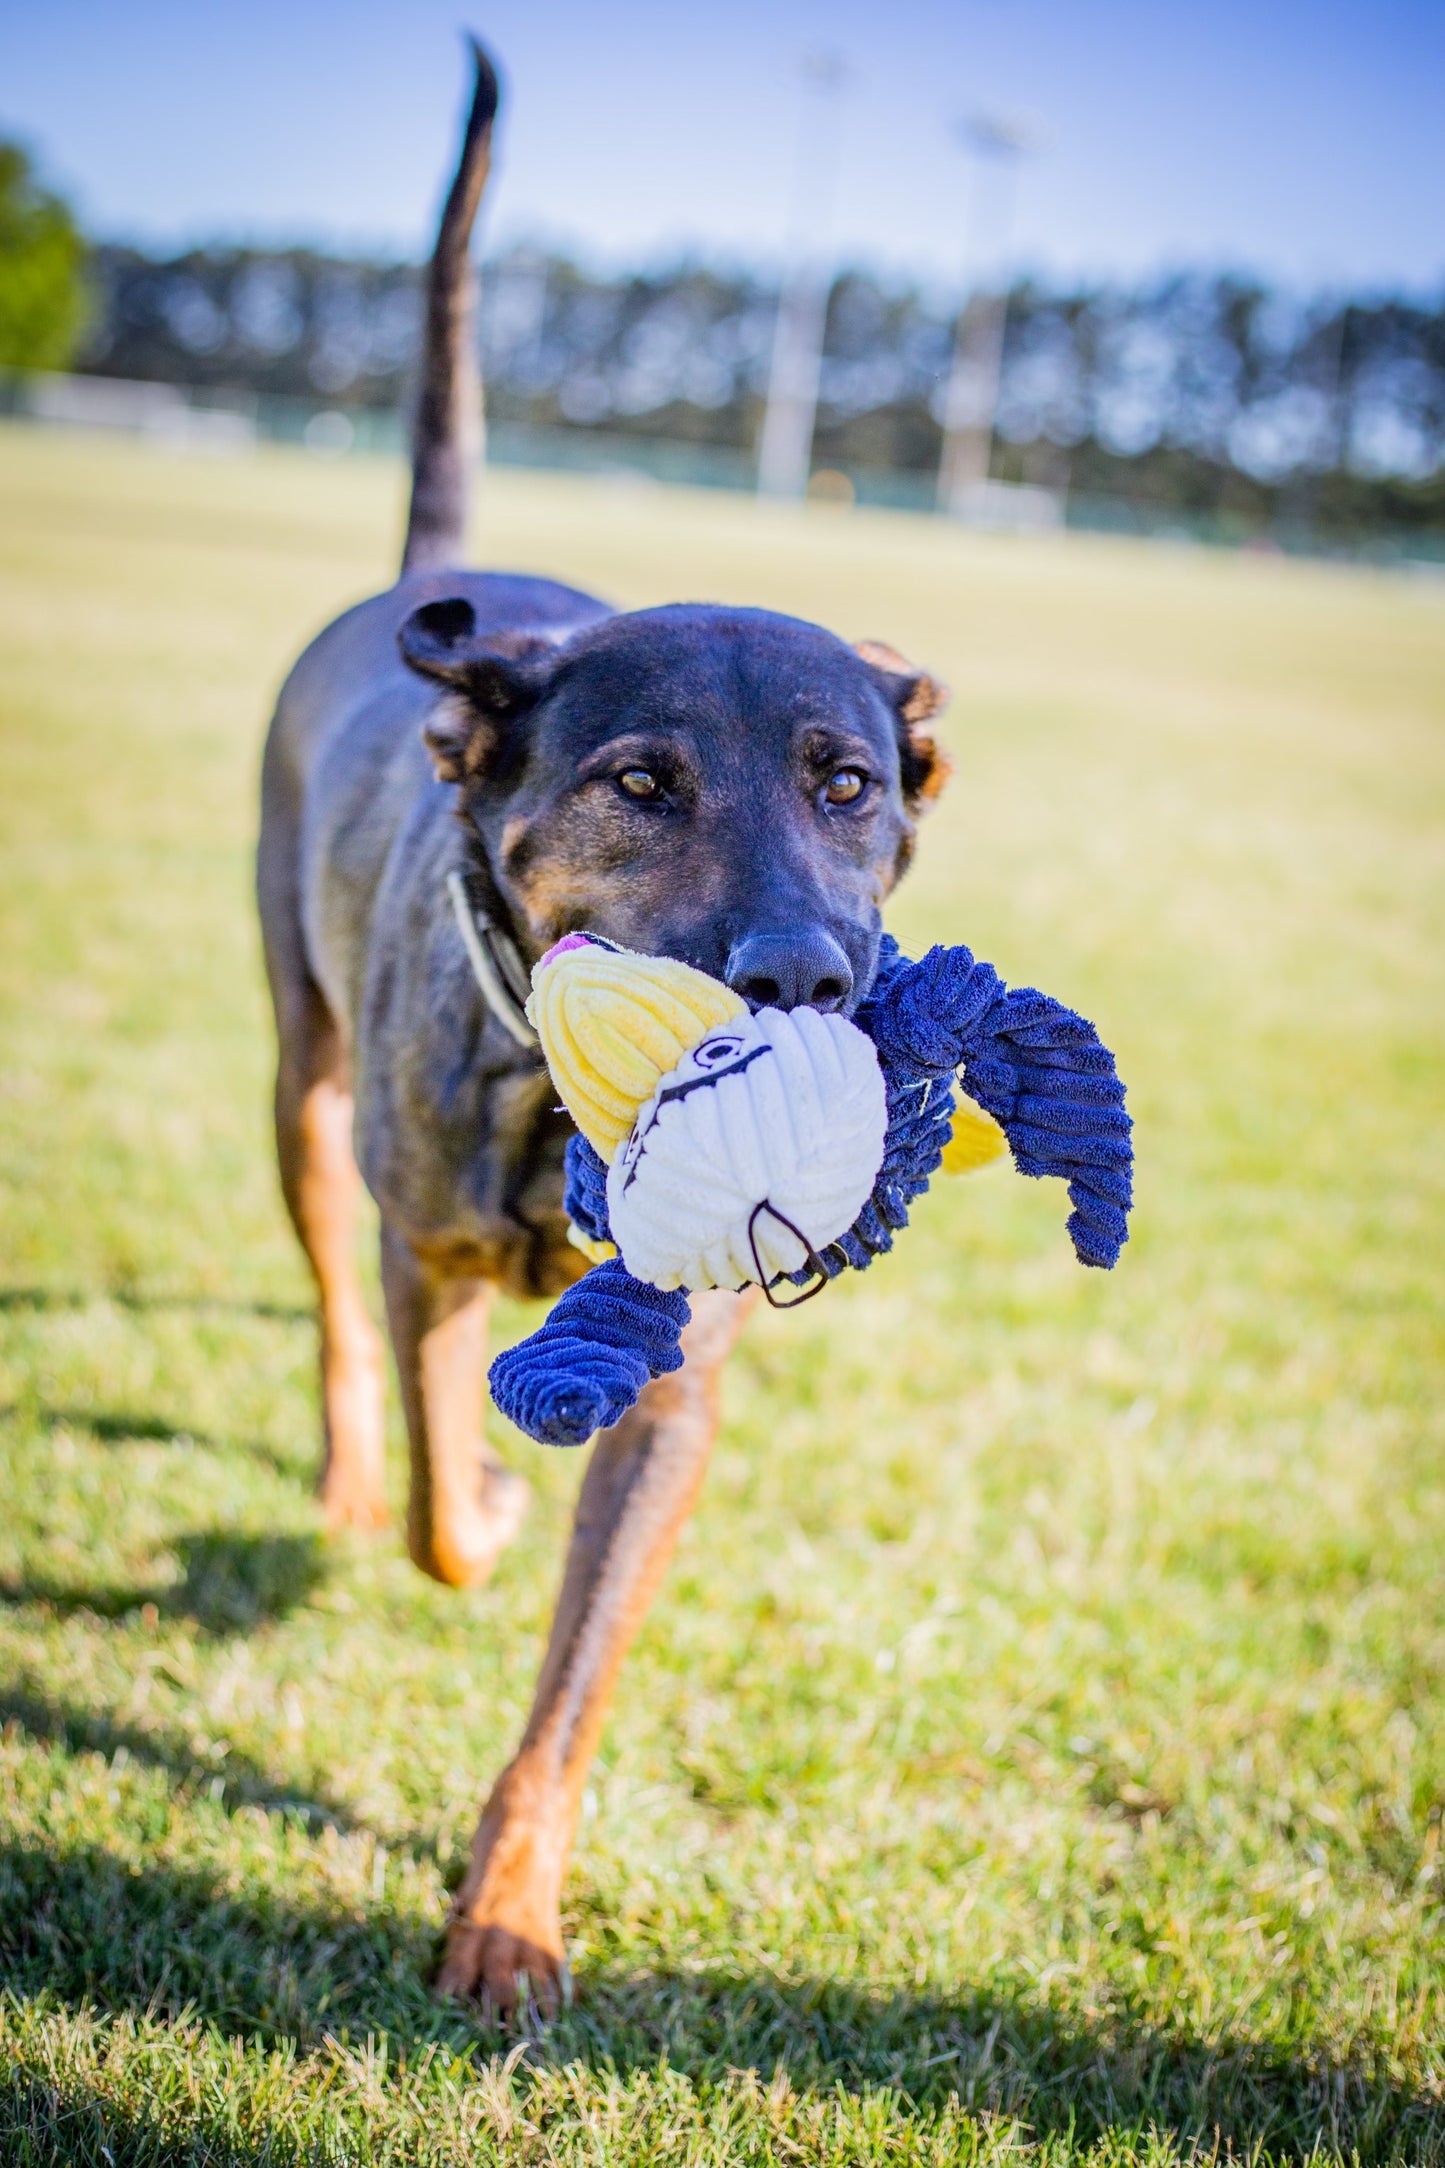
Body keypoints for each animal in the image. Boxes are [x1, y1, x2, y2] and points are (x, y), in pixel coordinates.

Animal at [259, 46, 953, 2011]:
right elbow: (441, 1487)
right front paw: (476, 1512)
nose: (806, 976)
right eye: (642, 784)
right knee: (336, 1318)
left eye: (849, 785)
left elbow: (572, 1690)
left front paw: (507, 1904)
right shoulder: (424, 1249)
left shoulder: (682, 1385)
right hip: (297, 1081)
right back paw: (352, 1469)